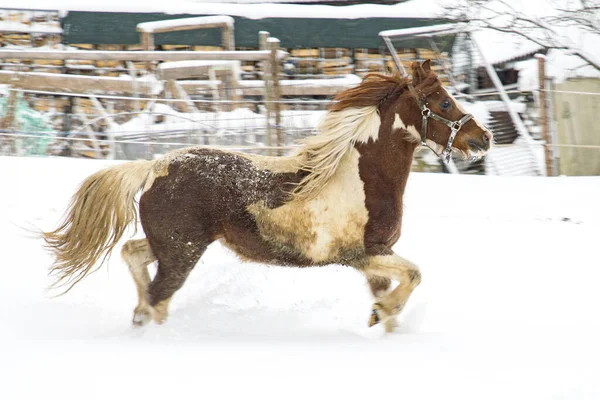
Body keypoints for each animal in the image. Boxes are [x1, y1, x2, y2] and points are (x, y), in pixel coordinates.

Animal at [43, 61, 492, 332]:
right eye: (444, 102)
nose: (483, 137)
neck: (360, 176)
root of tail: (154, 168)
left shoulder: (375, 259)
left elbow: (392, 299)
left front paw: (381, 319)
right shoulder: (363, 253)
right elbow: (414, 275)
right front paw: (383, 314)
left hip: (169, 245)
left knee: (135, 260)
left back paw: (144, 316)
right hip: (182, 251)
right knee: (156, 293)